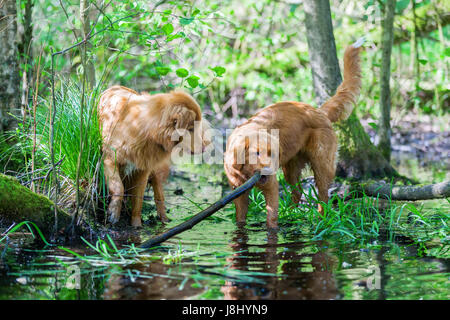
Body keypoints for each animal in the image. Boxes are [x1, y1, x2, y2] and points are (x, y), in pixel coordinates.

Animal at [98, 86, 209, 226]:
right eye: (190, 129)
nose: (204, 148)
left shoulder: (142, 170)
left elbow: (138, 201)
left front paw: (136, 225)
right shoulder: (109, 160)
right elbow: (119, 188)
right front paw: (113, 213)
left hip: (155, 171)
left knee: (159, 195)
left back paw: (165, 220)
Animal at [224, 42, 362, 229]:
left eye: (272, 154)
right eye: (257, 153)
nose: (268, 170)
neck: (246, 172)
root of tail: (319, 111)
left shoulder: (271, 186)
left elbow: (271, 217)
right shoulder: (237, 190)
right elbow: (240, 218)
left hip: (321, 162)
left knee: (323, 196)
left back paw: (321, 219)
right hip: (291, 167)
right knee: (297, 192)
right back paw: (289, 214)